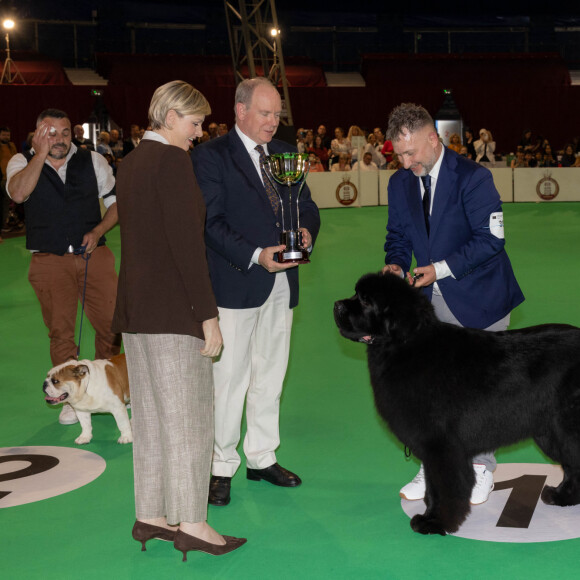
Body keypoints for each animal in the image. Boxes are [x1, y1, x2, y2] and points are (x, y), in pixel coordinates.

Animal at [334, 272, 580, 536]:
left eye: (366, 301)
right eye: (356, 294)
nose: (336, 305)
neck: (407, 346)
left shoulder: (441, 445)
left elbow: (444, 487)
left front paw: (435, 522)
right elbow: (432, 486)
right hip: (551, 433)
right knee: (573, 466)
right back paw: (562, 496)